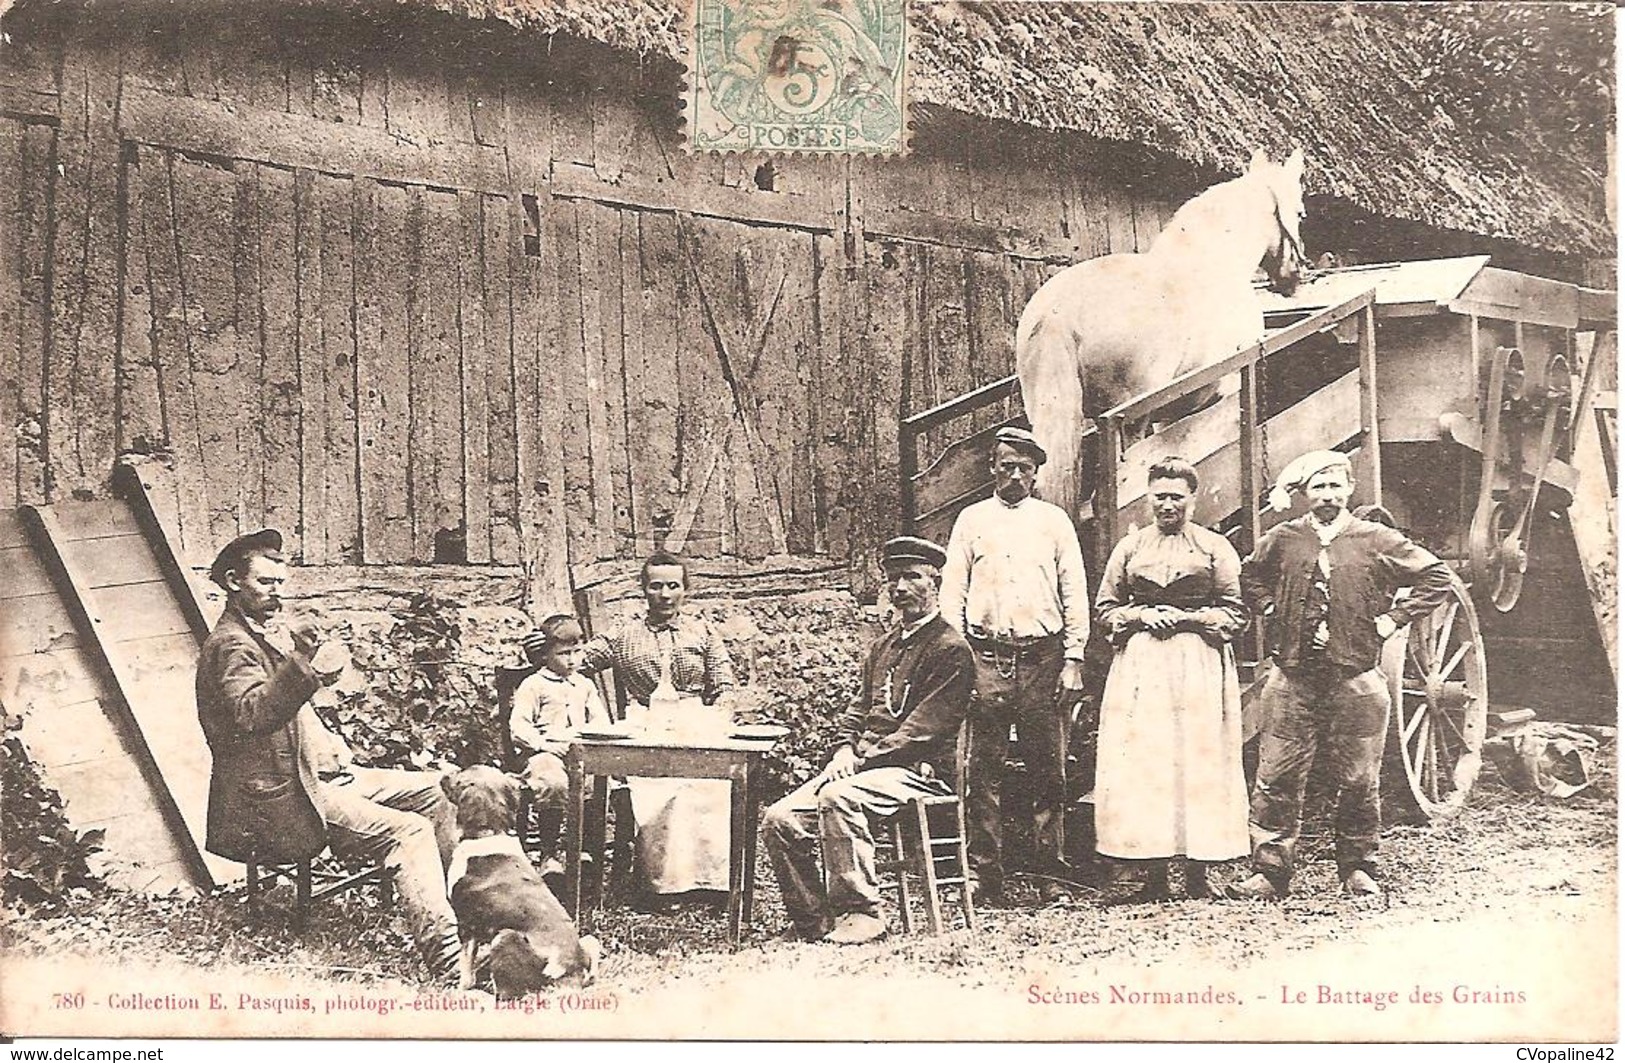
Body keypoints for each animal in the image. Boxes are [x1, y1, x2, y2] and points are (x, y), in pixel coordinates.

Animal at [1014, 147, 1306, 520]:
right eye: (1300, 213)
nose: (1296, 277)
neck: (1215, 263)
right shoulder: (1228, 390)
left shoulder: (1169, 412)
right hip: (1130, 418)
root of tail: (1058, 312)